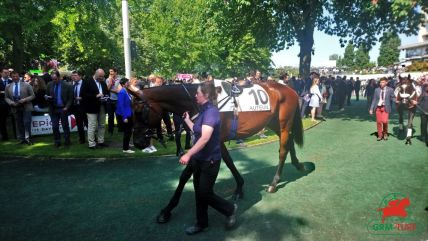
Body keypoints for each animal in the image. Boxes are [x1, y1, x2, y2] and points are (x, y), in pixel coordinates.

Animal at [130, 81, 304, 220]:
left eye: (139, 112)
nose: (138, 142)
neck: (200, 103)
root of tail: (290, 89)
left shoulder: (211, 140)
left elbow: (186, 174)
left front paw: (167, 209)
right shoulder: (213, 141)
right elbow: (227, 161)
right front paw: (239, 187)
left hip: (284, 122)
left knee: (283, 150)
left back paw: (274, 182)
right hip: (274, 122)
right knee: (289, 142)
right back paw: (298, 164)